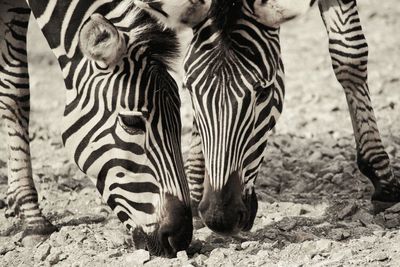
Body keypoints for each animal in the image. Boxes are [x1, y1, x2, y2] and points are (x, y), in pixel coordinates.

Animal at [135, 0, 400, 236]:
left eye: (264, 92)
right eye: (188, 89)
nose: (219, 217)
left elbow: (349, 56)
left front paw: (382, 178)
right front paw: (195, 185)